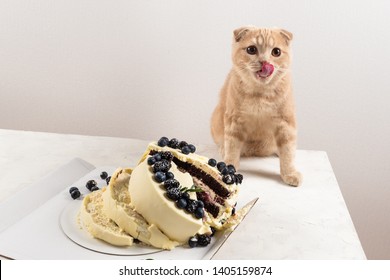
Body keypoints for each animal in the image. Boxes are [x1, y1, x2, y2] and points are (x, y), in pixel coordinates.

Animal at [210, 26, 302, 187]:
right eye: (251, 49)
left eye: (276, 52)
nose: (264, 62)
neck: (260, 94)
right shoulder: (234, 121)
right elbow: (232, 146)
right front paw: (229, 168)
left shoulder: (286, 123)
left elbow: (288, 151)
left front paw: (289, 173)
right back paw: (223, 149)